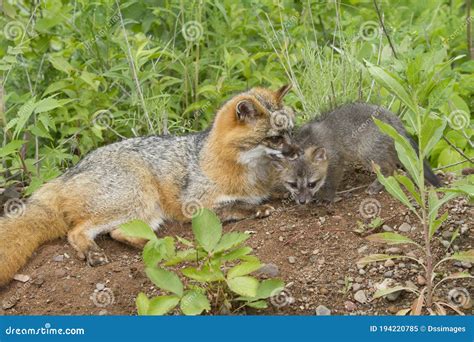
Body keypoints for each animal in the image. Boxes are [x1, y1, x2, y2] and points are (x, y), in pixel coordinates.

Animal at [0, 85, 296, 286]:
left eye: (291, 132)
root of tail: (66, 175)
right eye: (275, 138)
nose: (296, 152)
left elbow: (274, 190)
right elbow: (235, 205)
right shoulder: (194, 204)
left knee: (118, 234)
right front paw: (256, 209)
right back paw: (95, 253)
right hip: (136, 199)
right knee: (78, 231)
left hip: (147, 212)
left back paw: (156, 245)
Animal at [272, 101, 442, 203]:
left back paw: (377, 185)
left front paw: (326, 197)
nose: (302, 201)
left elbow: (331, 182)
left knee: (389, 169)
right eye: (293, 184)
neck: (310, 140)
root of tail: (392, 117)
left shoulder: (336, 162)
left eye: (311, 184)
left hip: (367, 153)